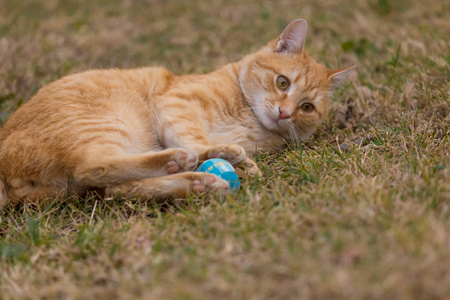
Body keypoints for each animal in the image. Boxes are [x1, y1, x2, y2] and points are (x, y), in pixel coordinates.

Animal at [0, 18, 354, 206]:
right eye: (283, 82)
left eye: (307, 107)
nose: (284, 113)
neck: (250, 119)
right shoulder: (176, 103)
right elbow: (195, 139)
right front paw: (224, 153)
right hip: (108, 124)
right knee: (95, 168)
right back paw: (180, 162)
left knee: (119, 188)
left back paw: (197, 182)